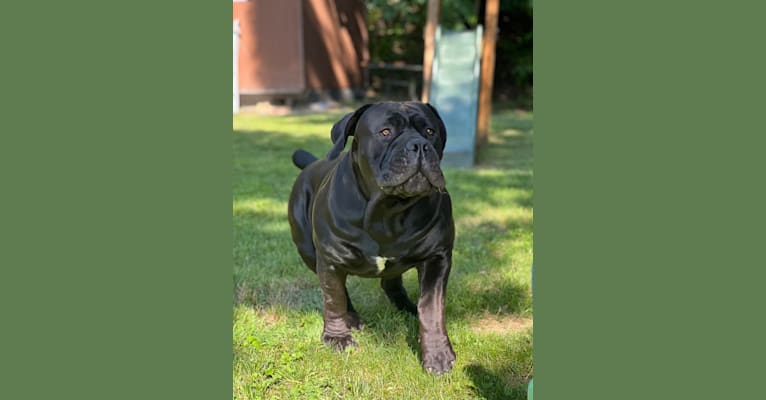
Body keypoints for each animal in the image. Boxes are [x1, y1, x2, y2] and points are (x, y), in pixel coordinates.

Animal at [288, 101, 456, 376]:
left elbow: (431, 309)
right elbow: (333, 298)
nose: (419, 145)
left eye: (430, 131)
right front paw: (337, 338)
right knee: (340, 290)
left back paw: (407, 308)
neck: (388, 212)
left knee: (391, 283)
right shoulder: (330, 259)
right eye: (385, 132)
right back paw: (353, 319)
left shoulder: (437, 257)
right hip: (308, 252)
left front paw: (438, 355)